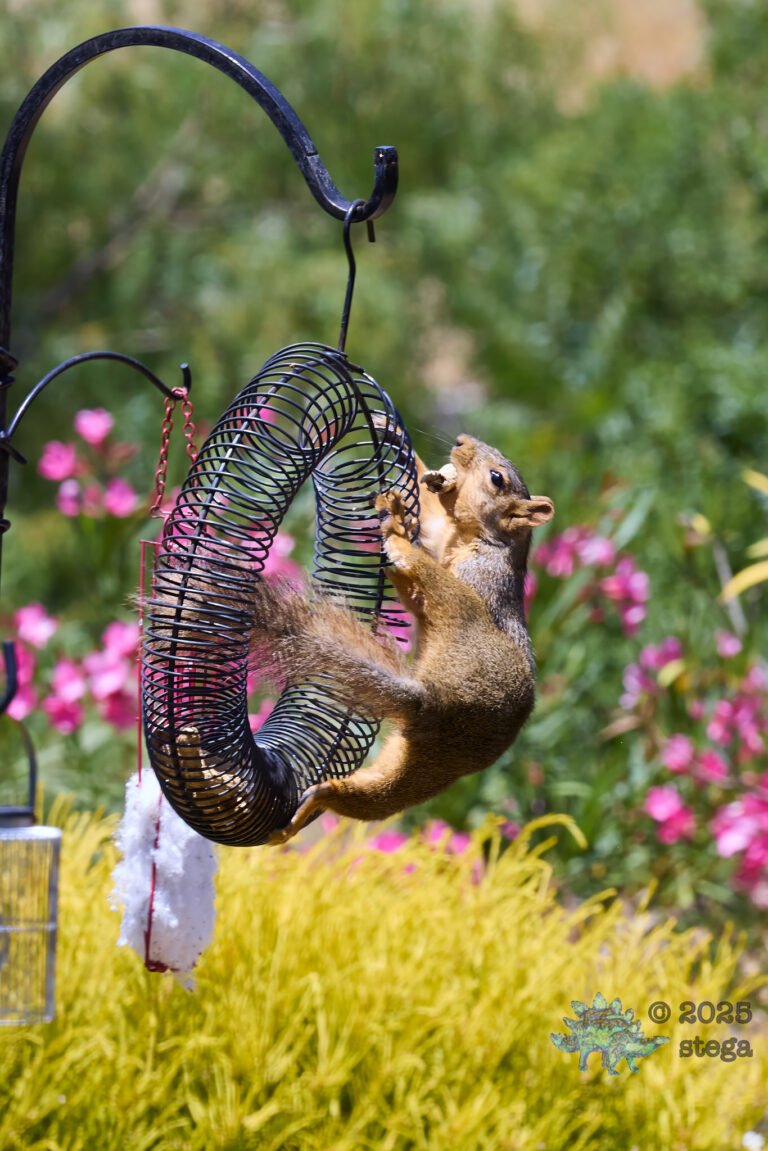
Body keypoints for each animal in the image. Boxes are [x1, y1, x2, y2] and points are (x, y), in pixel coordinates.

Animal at [249, 433, 555, 844]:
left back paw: (394, 531)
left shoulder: (484, 580)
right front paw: (394, 438)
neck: (479, 539)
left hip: (467, 621)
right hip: (422, 769)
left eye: (496, 478)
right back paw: (305, 811)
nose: (462, 440)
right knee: (373, 797)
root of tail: (435, 701)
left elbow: (427, 584)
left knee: (437, 585)